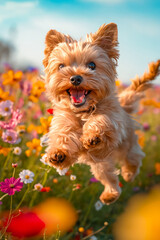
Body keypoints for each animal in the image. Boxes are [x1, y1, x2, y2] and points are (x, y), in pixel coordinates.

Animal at [42, 22, 160, 203]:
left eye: (92, 65)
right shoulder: (63, 122)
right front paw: (58, 153)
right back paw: (109, 194)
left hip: (127, 144)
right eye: (61, 66)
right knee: (109, 178)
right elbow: (64, 136)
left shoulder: (113, 120)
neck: (82, 112)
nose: (75, 78)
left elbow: (102, 120)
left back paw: (129, 173)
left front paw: (92, 136)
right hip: (100, 165)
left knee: (134, 157)